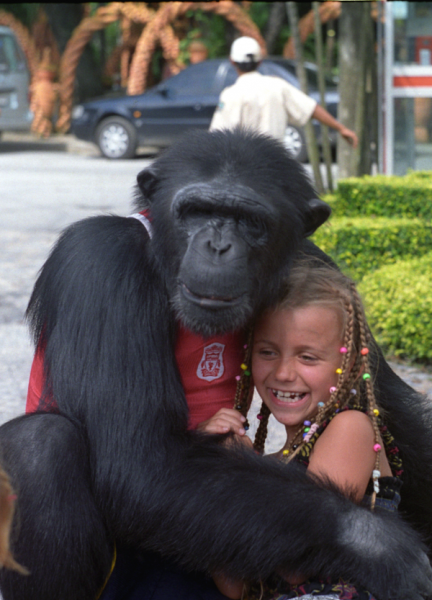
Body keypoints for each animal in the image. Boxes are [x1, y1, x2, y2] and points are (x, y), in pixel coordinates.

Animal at [0, 127, 432, 600]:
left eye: (250, 221)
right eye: (198, 211)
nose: (218, 245)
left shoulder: (321, 263)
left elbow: (393, 410)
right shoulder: (101, 262)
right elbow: (142, 462)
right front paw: (375, 543)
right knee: (41, 445)